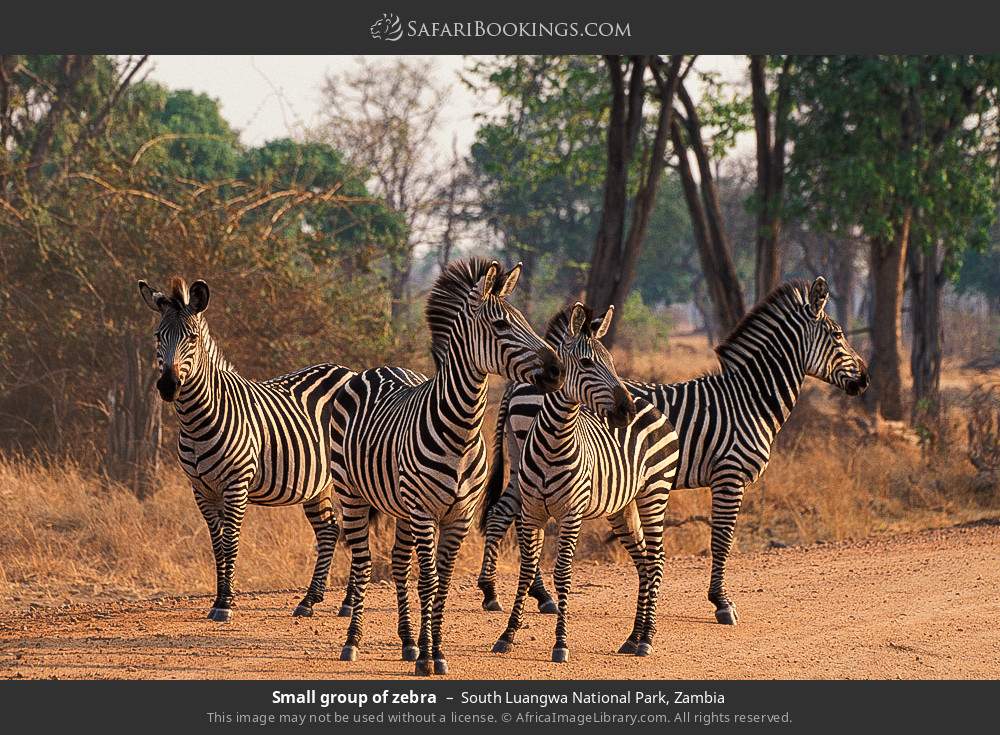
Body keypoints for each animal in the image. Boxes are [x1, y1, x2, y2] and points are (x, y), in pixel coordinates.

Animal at [138, 277, 354, 622]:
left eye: (193, 338)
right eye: (158, 336)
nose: (168, 386)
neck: (196, 421)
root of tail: (348, 371)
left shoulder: (235, 485)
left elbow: (230, 541)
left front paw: (225, 603)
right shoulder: (201, 489)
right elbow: (216, 544)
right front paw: (221, 597)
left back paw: (348, 602)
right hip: (317, 484)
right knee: (329, 530)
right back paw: (309, 600)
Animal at [328, 258, 564, 676]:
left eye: (524, 319)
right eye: (501, 324)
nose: (556, 370)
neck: (461, 430)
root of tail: (377, 369)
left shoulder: (459, 516)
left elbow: (442, 581)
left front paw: (432, 651)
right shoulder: (425, 511)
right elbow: (428, 580)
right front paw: (427, 657)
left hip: (400, 506)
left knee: (398, 564)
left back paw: (407, 641)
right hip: (352, 494)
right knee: (363, 563)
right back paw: (352, 641)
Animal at [478, 277, 869, 625]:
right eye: (838, 335)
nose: (865, 379)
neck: (749, 400)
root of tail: (517, 383)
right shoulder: (729, 476)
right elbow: (722, 540)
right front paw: (721, 603)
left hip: (525, 462)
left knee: (502, 516)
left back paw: (508, 593)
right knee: (516, 519)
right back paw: (527, 595)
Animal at [490, 303, 680, 662]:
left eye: (612, 361)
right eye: (588, 363)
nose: (625, 410)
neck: (555, 441)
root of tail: (651, 407)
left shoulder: (571, 515)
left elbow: (563, 573)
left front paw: (561, 643)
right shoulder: (532, 511)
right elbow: (526, 569)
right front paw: (507, 635)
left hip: (655, 493)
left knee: (657, 558)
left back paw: (647, 637)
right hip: (622, 507)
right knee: (644, 560)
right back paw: (633, 638)